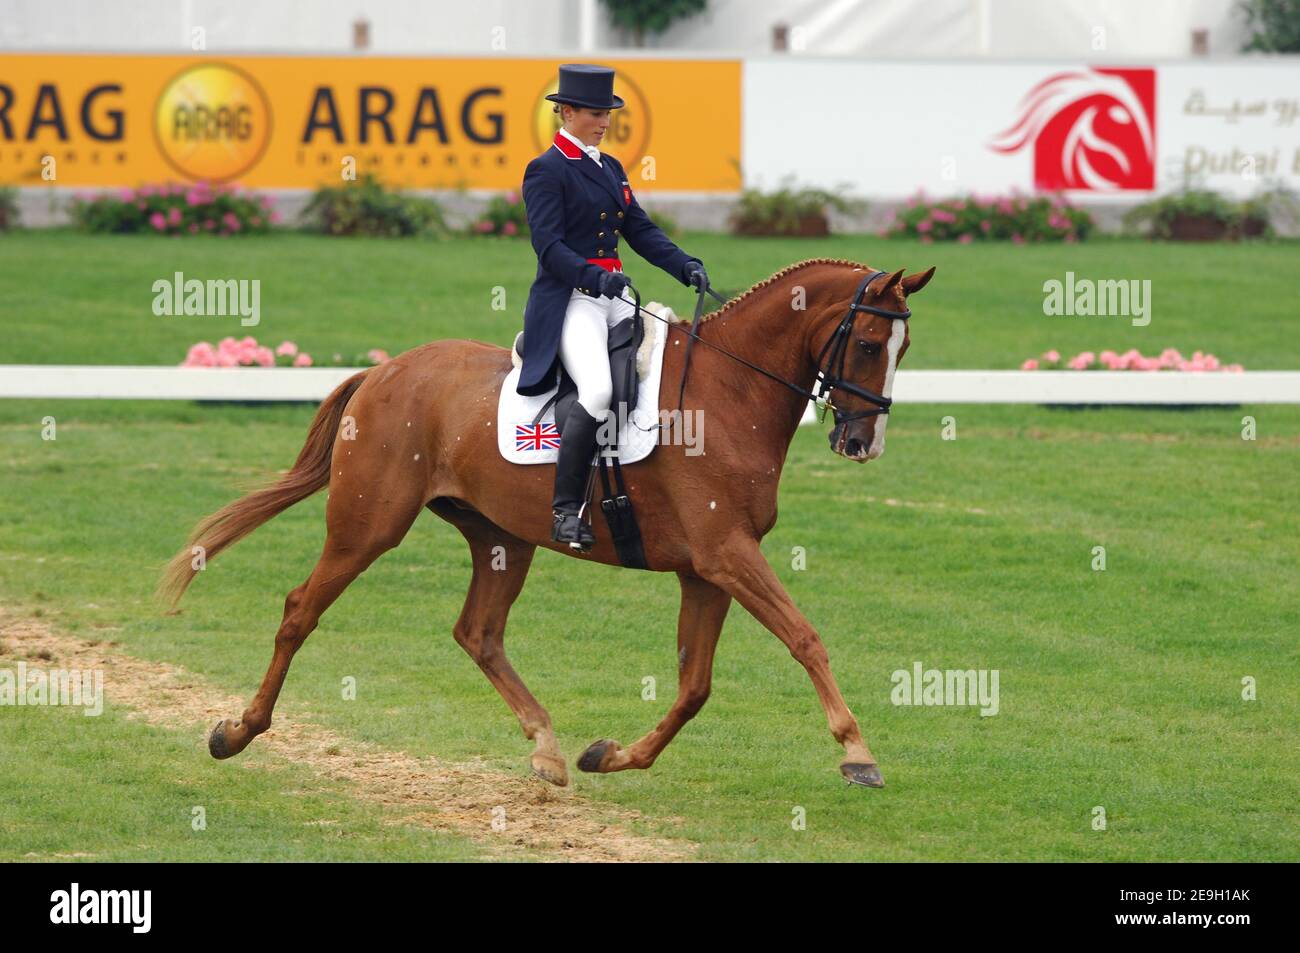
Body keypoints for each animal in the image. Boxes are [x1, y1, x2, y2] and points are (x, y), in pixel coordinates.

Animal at [159, 258, 935, 790]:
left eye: (904, 350)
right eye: (870, 343)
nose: (862, 443)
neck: (728, 392)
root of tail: (381, 373)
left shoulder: (707, 569)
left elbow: (694, 686)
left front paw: (614, 754)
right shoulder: (727, 554)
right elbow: (805, 638)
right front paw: (857, 753)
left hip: (502, 537)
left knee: (478, 633)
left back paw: (547, 746)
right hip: (368, 526)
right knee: (301, 609)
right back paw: (238, 731)